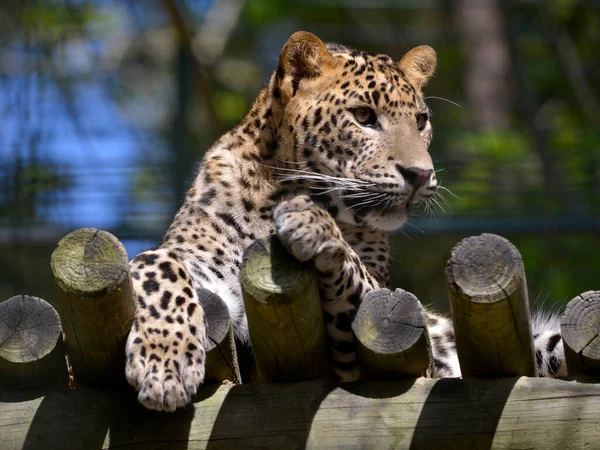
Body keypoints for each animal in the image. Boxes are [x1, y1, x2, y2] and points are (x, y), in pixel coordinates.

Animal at [124, 30, 564, 412]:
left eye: (421, 121)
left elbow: (356, 271)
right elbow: (155, 261)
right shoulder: (207, 276)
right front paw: (165, 368)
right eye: (363, 115)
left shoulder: (371, 324)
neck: (278, 194)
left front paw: (312, 224)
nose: (421, 174)